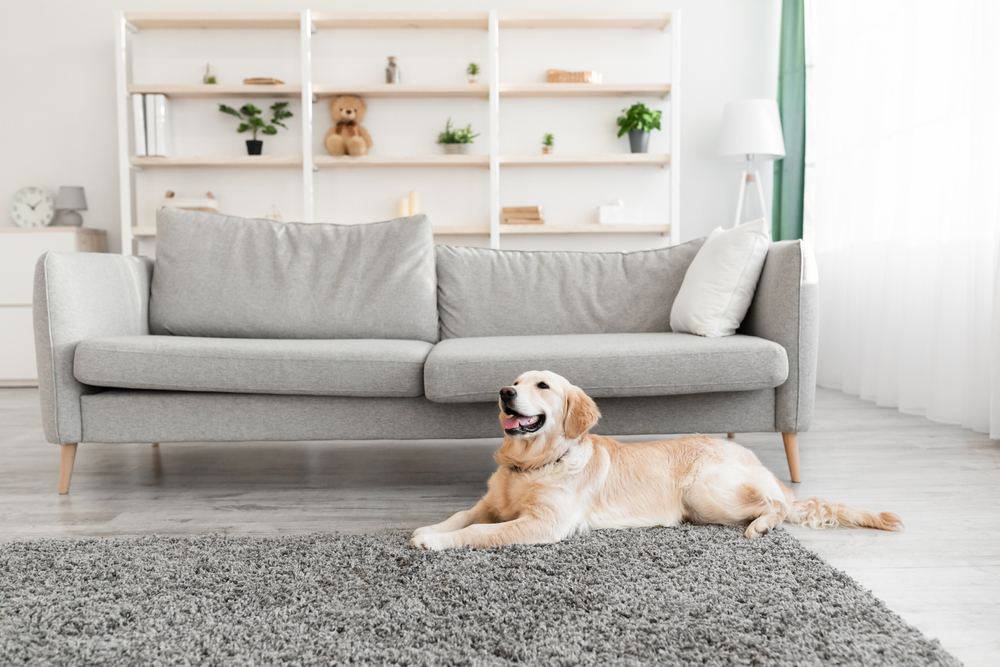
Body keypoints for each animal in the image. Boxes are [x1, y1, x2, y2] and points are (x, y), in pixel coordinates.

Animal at [410, 368, 904, 552]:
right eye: (514, 380)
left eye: (542, 386)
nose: (504, 392)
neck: (533, 463)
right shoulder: (490, 503)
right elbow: (462, 515)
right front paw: (429, 529)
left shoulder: (544, 523)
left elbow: (479, 532)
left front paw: (436, 542)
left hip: (705, 493)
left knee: (778, 505)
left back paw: (762, 524)